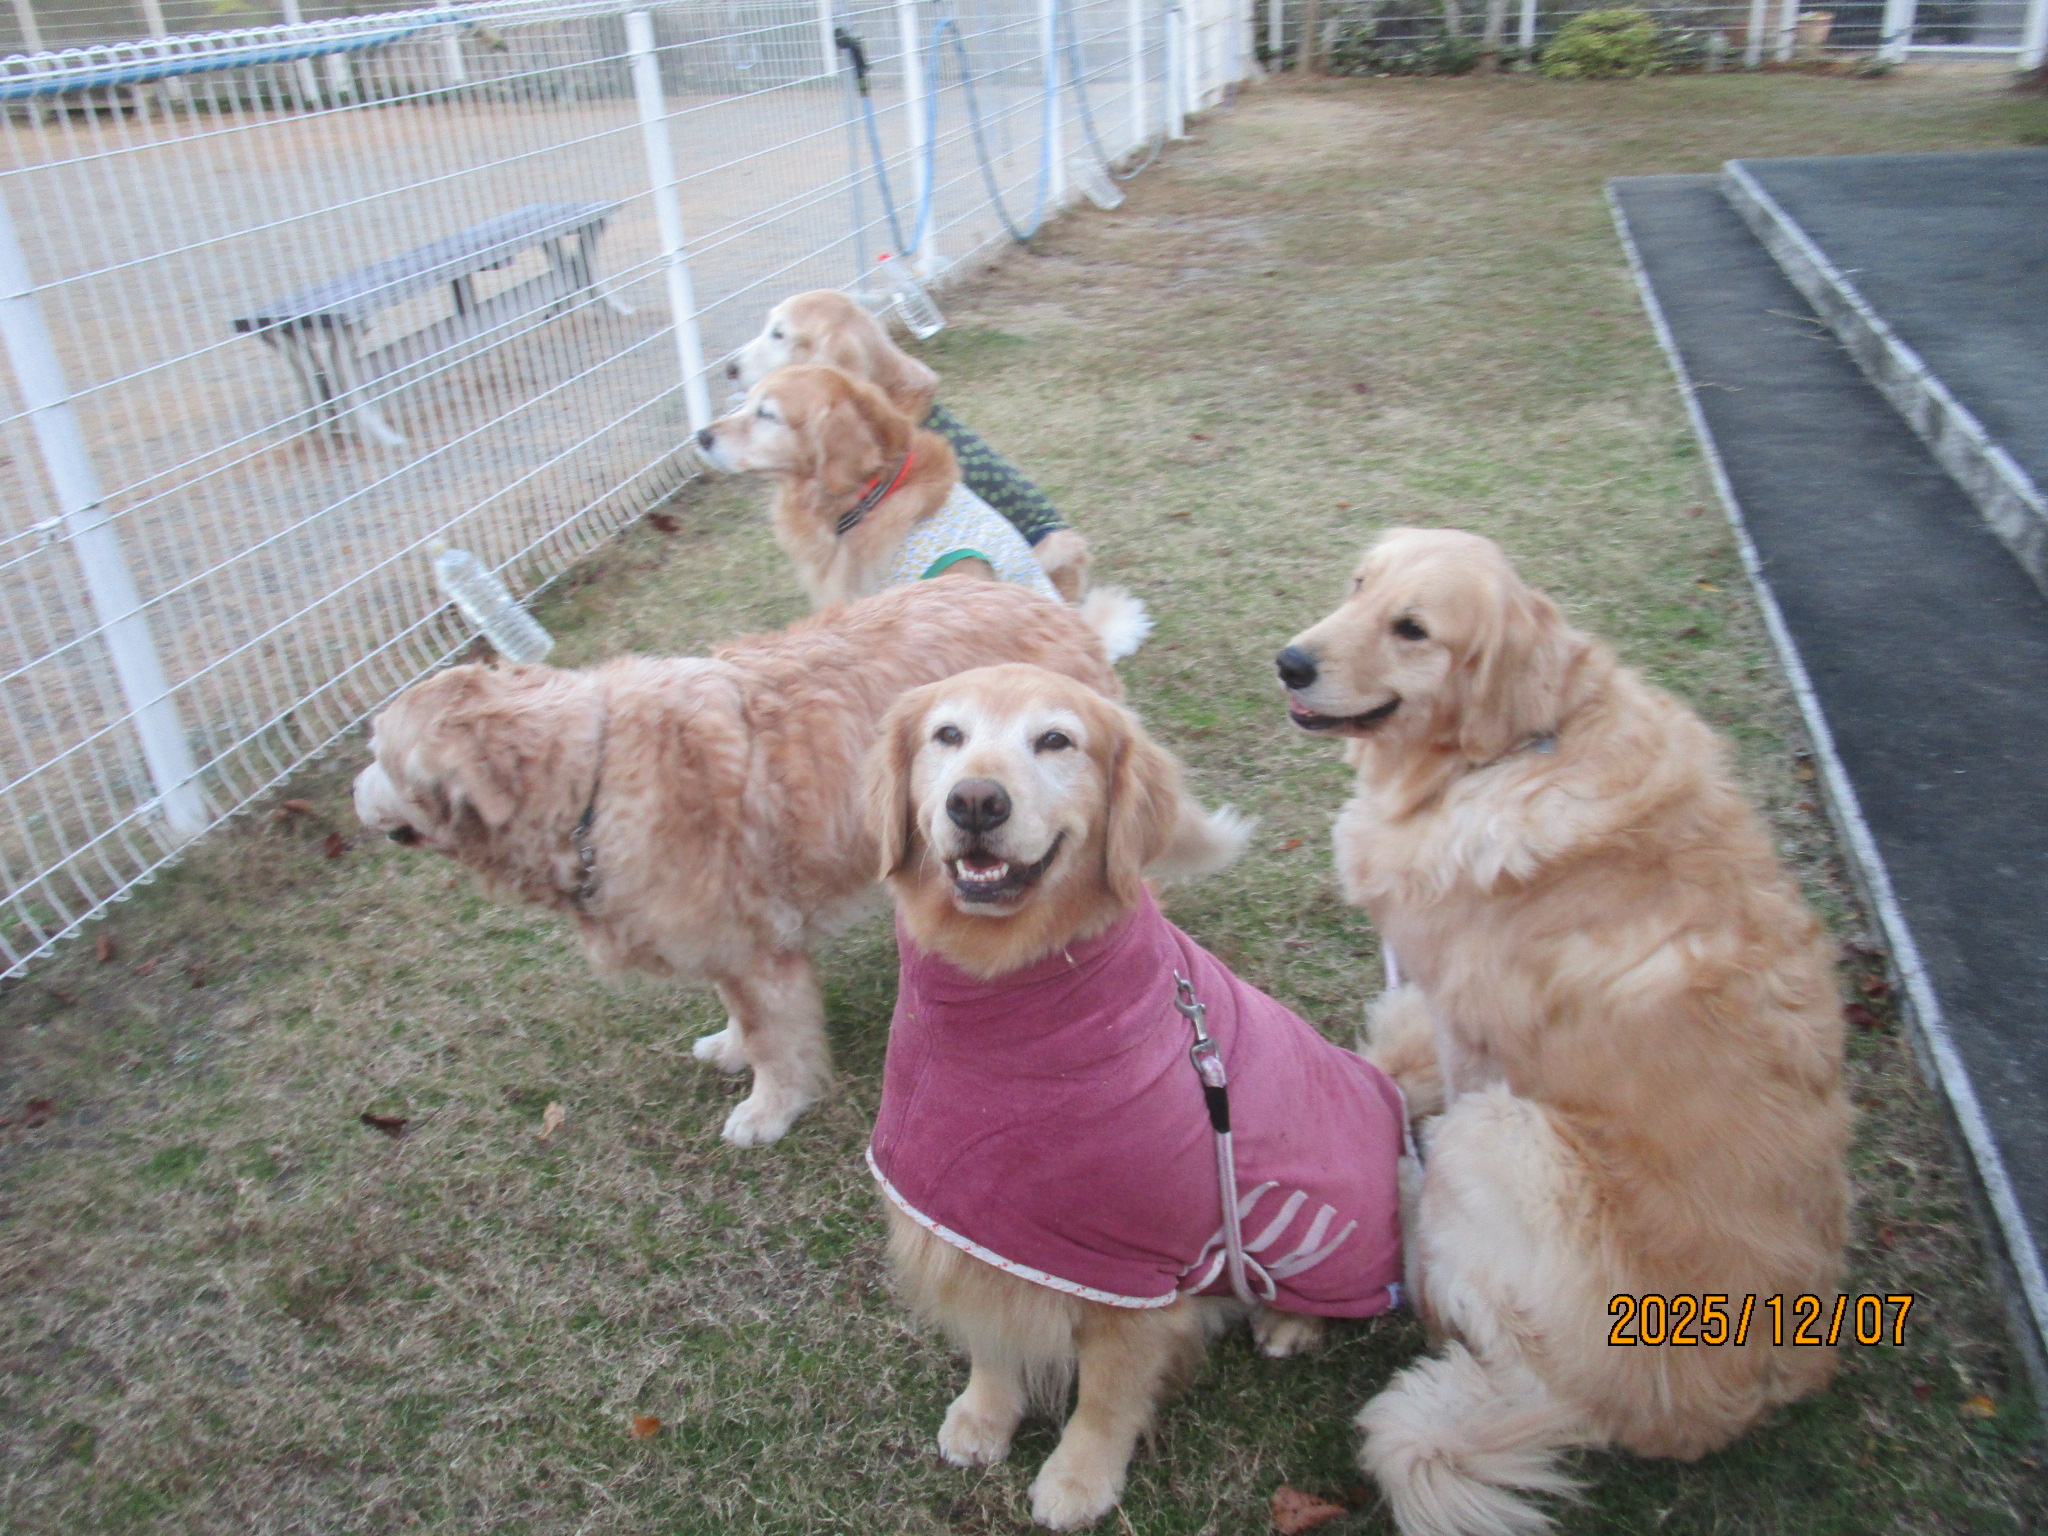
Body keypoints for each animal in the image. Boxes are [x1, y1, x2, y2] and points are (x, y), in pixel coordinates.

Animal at [351, 581, 1123, 1148]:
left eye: (378, 755)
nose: (353, 793)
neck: (593, 779)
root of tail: (1059, 609)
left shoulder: (759, 953)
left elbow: (775, 1041)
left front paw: (769, 1110)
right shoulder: (722, 937)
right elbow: (741, 1019)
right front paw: (728, 1048)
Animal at [863, 664, 1411, 1529]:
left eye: (1056, 740)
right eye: (946, 736)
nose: (976, 802)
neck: (1003, 994)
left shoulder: (1132, 1268)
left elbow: (1108, 1394)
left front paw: (1080, 1478)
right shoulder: (978, 1220)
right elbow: (994, 1336)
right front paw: (985, 1415)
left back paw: (1289, 1320)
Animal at [1278, 528, 1851, 1536]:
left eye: (1413, 629)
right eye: (1357, 586)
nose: (1290, 662)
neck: (1506, 753)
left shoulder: (1472, 1029)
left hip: (1508, 1135)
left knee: (1441, 1282)